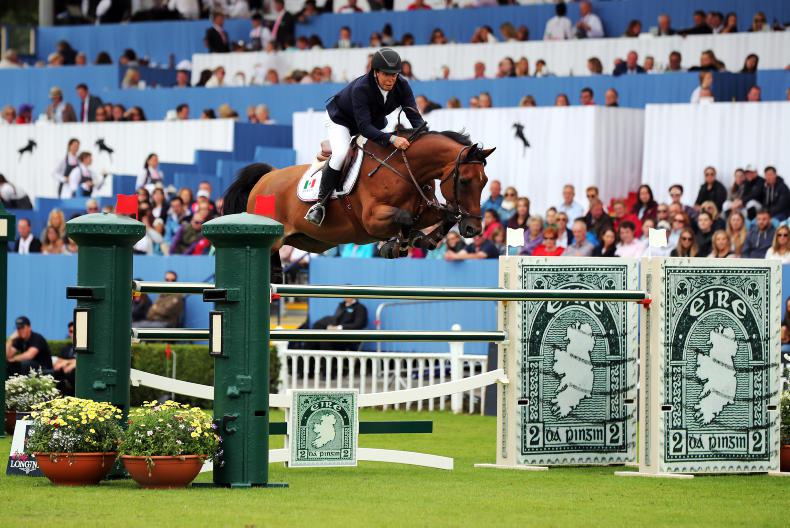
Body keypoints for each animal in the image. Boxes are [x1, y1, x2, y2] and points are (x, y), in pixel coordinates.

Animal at [222, 128, 495, 280]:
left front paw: (423, 240)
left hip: (301, 239)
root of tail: (265, 178)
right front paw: (397, 245)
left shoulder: (425, 211)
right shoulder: (372, 220)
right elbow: (405, 218)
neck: (404, 170)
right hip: (273, 236)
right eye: (465, 181)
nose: (473, 229)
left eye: (485, 182)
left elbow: (446, 216)